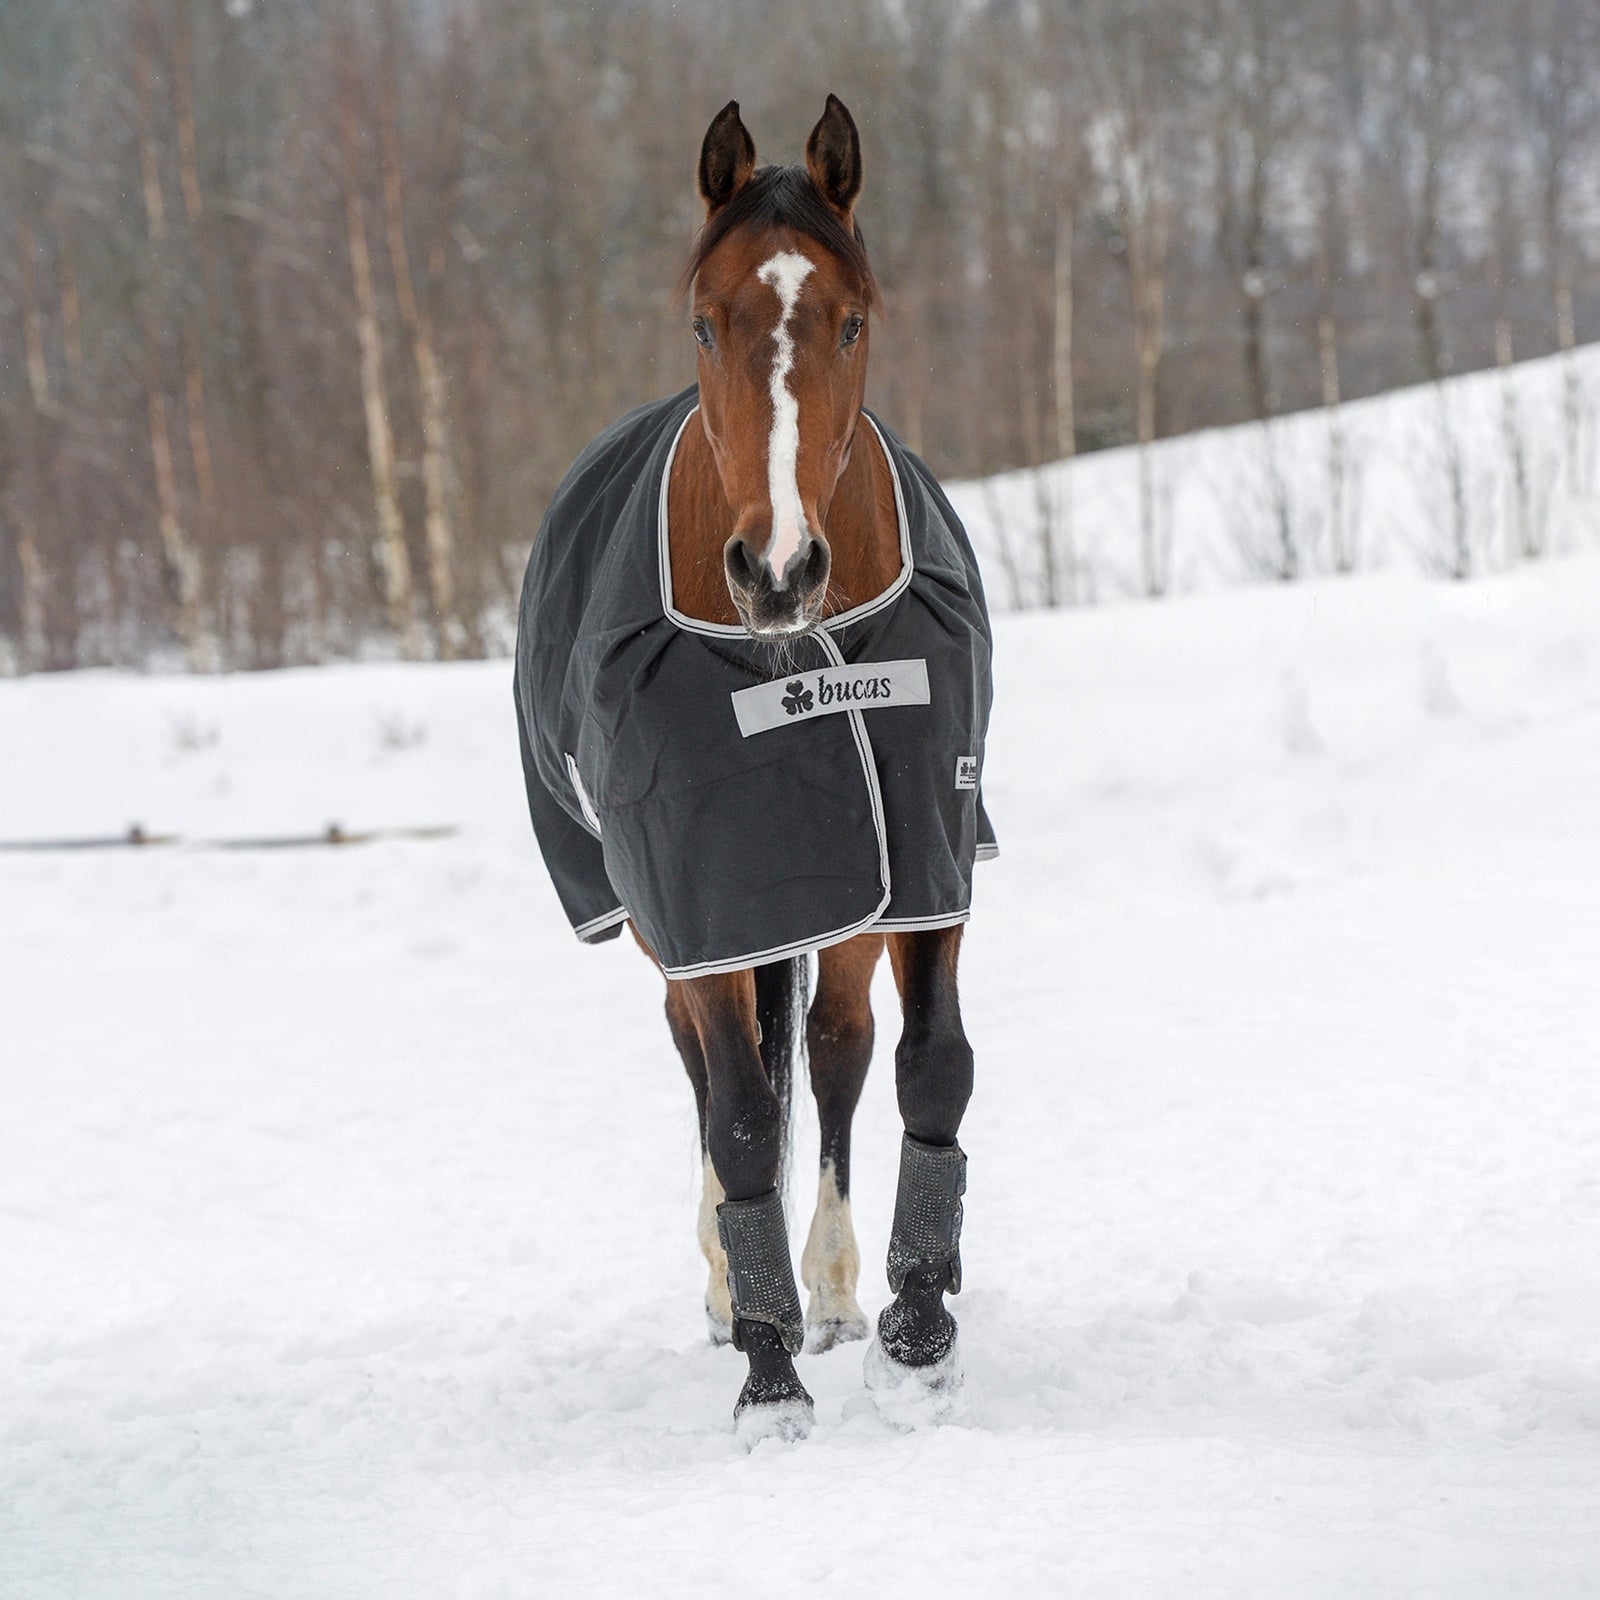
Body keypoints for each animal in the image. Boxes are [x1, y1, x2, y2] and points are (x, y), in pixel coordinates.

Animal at [513, 96, 995, 1443]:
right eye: (700, 317)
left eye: (853, 317)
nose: (776, 569)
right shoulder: (709, 898)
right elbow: (735, 1114)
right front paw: (768, 1378)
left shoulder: (924, 860)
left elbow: (928, 1066)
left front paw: (916, 1330)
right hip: (655, 921)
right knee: (705, 1071)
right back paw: (739, 1293)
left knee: (831, 1051)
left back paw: (826, 1287)